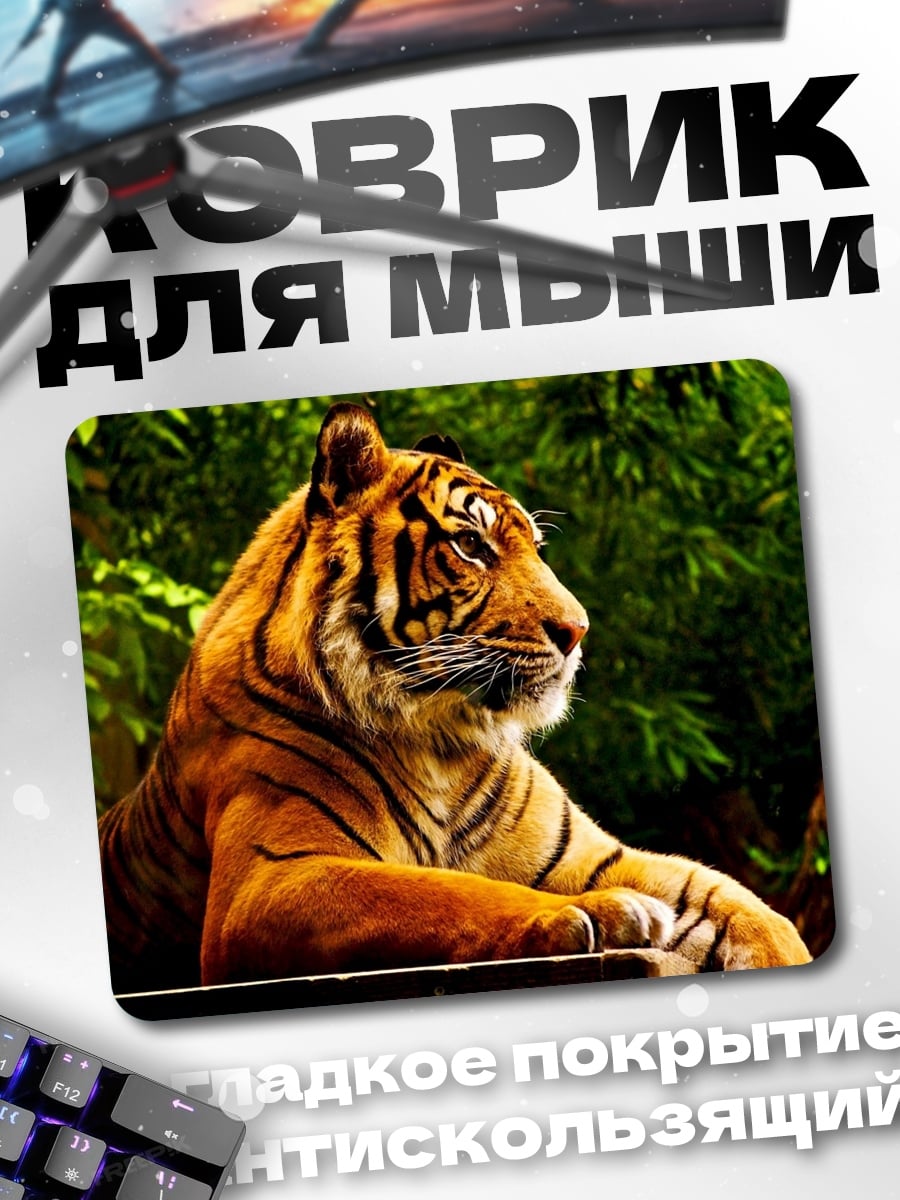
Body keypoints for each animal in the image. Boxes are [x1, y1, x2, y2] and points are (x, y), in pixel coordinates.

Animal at [98, 401, 810, 996]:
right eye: (471, 544)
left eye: (535, 547)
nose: (578, 630)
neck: (439, 739)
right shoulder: (268, 881)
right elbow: (445, 890)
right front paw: (598, 914)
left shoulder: (590, 853)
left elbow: (734, 897)